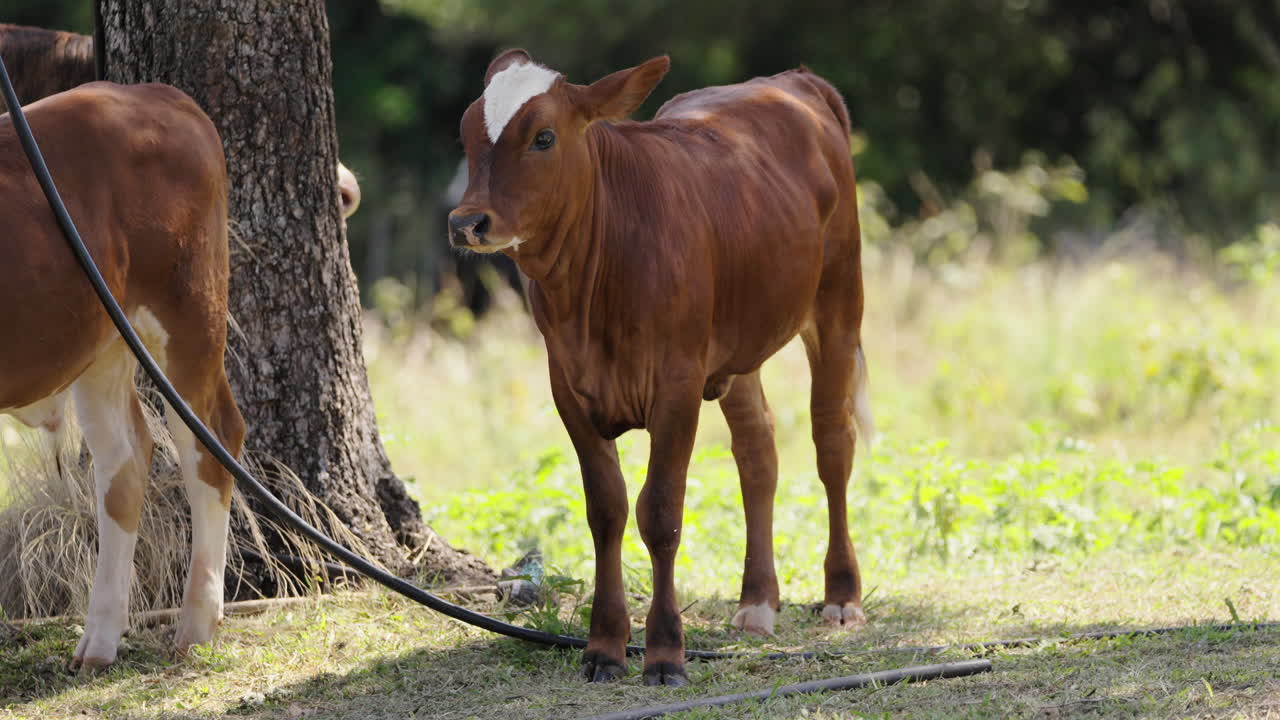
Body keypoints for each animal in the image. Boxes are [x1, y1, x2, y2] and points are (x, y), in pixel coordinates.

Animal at [1, 82, 244, 670]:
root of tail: (152, 94)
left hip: (188, 317)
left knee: (212, 444)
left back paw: (195, 625)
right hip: (104, 344)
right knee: (125, 461)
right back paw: (101, 639)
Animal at [449, 51, 875, 686]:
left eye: (543, 137)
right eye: (466, 134)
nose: (467, 222)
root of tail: (790, 80)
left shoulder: (676, 384)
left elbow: (660, 512)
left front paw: (666, 651)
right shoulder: (568, 388)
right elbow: (606, 508)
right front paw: (604, 646)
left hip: (838, 302)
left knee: (832, 444)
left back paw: (842, 594)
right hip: (736, 349)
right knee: (758, 453)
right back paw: (757, 602)